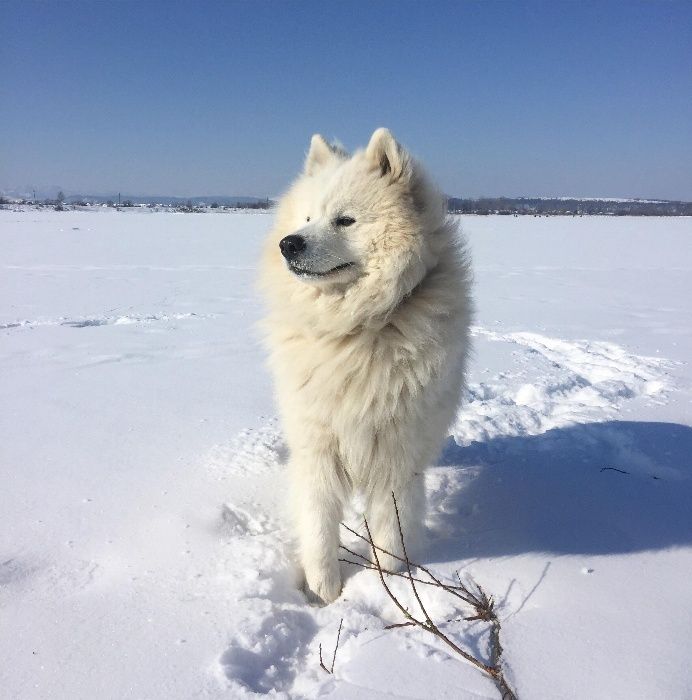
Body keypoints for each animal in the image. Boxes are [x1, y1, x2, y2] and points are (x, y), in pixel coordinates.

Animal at [258, 127, 470, 600]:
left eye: (345, 220)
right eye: (306, 219)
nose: (288, 244)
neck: (355, 330)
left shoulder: (395, 450)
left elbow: (391, 531)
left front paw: (390, 586)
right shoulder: (318, 439)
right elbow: (319, 522)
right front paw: (324, 591)